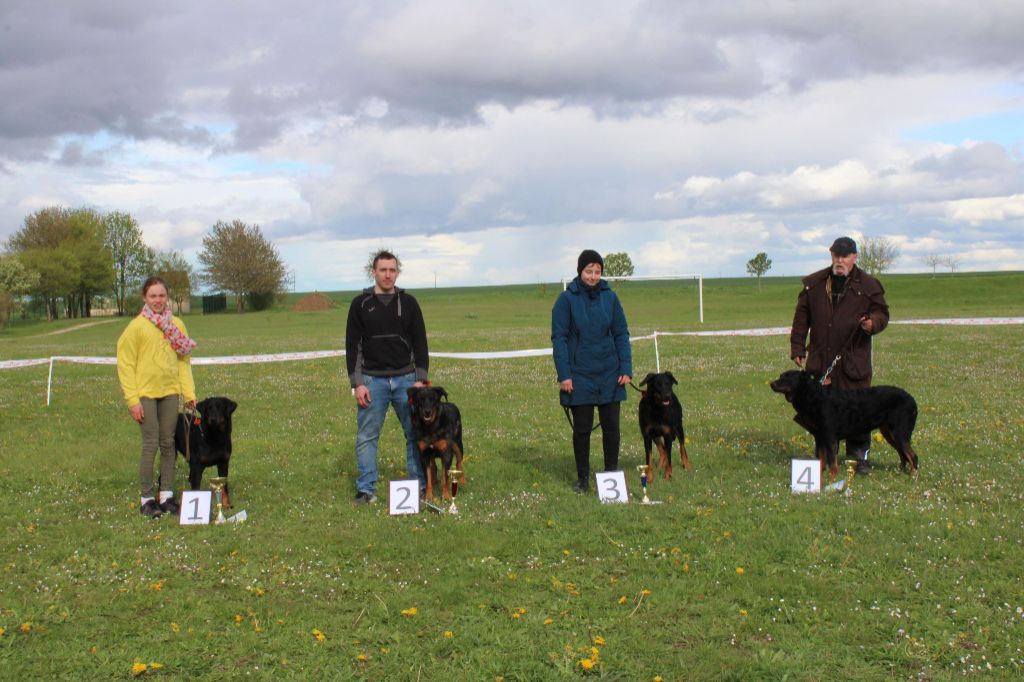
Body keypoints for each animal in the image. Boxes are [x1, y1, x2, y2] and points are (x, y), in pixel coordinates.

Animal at [770, 366, 921, 477]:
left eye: (787, 378)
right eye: (781, 376)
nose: (771, 383)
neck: (813, 396)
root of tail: (913, 400)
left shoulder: (829, 436)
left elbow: (832, 461)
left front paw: (832, 478)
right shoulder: (819, 437)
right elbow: (821, 458)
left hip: (899, 432)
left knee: (912, 455)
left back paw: (913, 476)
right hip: (889, 432)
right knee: (903, 454)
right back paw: (900, 471)